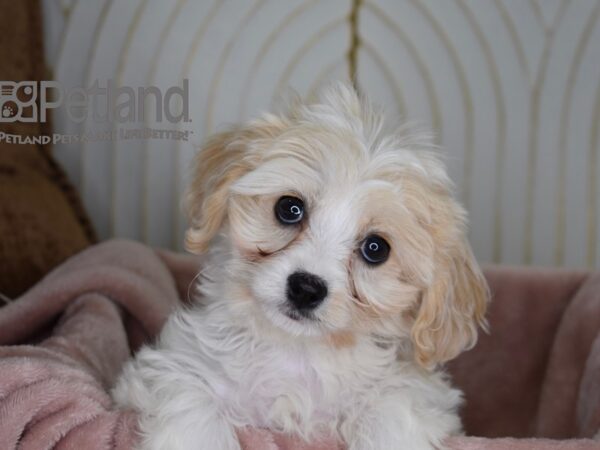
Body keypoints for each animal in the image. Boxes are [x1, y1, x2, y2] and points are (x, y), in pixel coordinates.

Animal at [111, 84, 488, 450]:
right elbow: (191, 404)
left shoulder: (414, 393)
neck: (297, 353)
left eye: (376, 248)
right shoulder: (174, 365)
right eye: (289, 208)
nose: (306, 288)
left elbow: (392, 412)